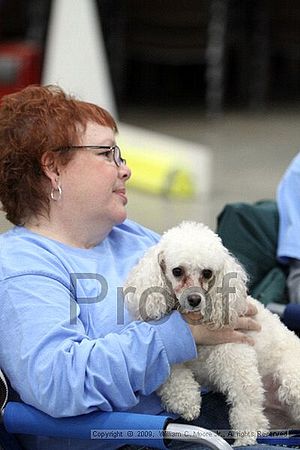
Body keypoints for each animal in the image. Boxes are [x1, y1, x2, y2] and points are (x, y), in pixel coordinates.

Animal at [122, 220, 300, 444]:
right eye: (177, 271)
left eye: (207, 273)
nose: (194, 299)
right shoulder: (169, 354)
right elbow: (171, 372)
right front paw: (187, 402)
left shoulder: (236, 357)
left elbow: (246, 403)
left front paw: (246, 439)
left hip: (291, 379)